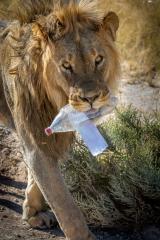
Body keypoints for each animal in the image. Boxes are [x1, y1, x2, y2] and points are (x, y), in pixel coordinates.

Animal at [0, 0, 120, 240]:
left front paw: (33, 214)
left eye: (98, 60)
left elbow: (37, 180)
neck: (54, 100)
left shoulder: (49, 136)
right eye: (66, 65)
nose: (91, 98)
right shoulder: (35, 140)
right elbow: (64, 204)